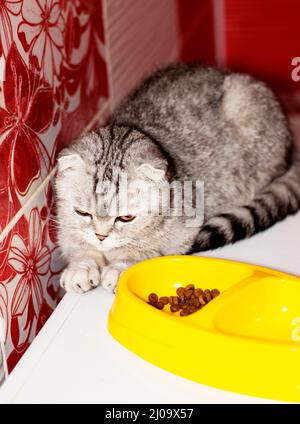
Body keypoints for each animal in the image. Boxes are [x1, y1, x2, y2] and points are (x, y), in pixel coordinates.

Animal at [54, 64, 300, 294]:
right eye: (82, 213)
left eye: (126, 218)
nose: (101, 237)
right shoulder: (67, 227)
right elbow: (76, 243)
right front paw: (82, 266)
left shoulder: (182, 232)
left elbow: (145, 250)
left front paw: (119, 267)